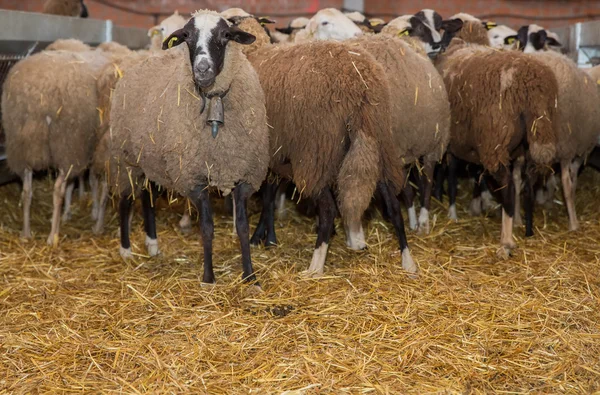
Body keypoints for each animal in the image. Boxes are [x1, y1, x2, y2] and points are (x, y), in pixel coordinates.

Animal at [109, 10, 270, 286]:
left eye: (225, 35)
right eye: (186, 36)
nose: (202, 69)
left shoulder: (243, 175)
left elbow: (242, 227)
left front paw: (250, 277)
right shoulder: (195, 177)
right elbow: (206, 227)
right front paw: (208, 278)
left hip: (151, 159)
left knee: (147, 198)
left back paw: (152, 244)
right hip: (126, 158)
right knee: (126, 200)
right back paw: (126, 250)